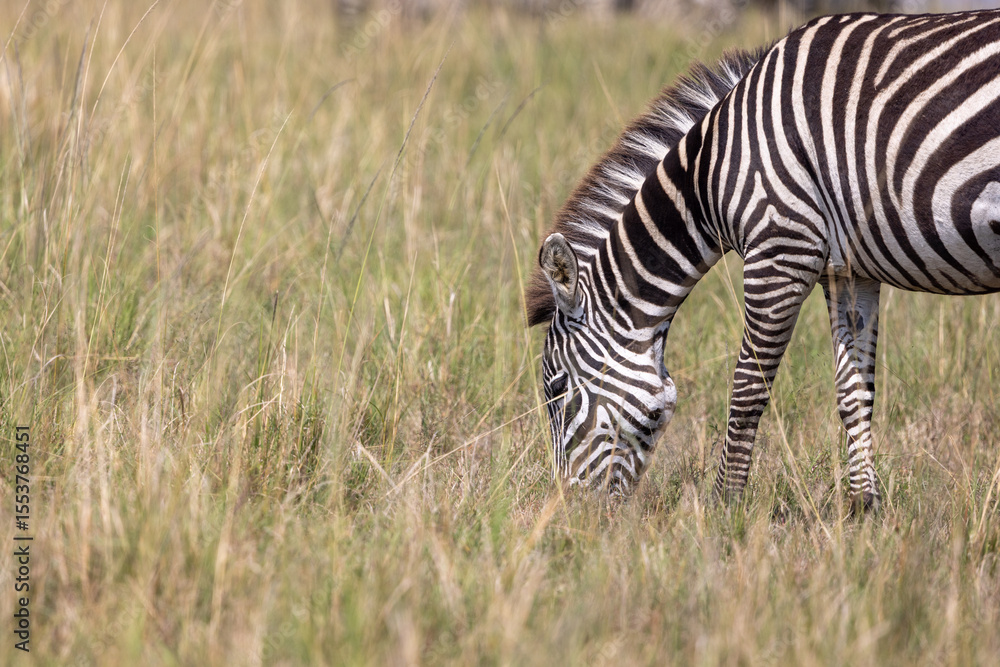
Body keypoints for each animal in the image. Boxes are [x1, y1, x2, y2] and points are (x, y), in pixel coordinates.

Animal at [526, 10, 1000, 510]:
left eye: (557, 391)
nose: (568, 512)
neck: (710, 172)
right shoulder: (849, 271)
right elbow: (854, 392)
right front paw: (862, 508)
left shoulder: (780, 247)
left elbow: (747, 387)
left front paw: (725, 505)